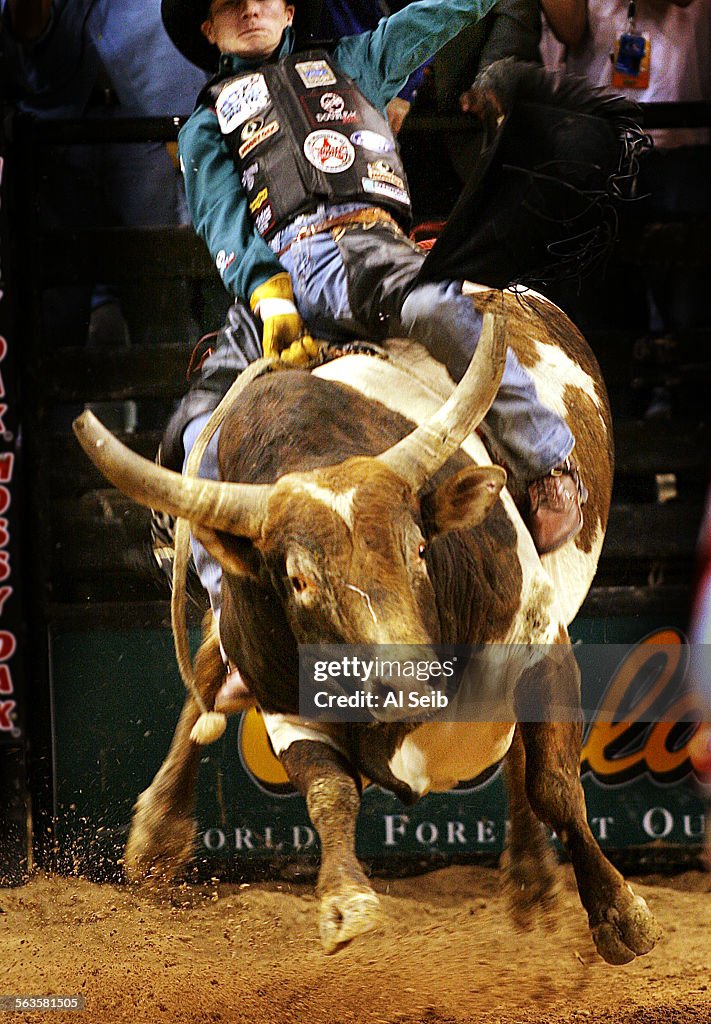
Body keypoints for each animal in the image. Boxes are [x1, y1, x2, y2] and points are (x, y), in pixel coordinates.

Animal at [73, 286, 663, 958]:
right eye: (297, 580)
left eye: (419, 548)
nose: (406, 682)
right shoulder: (284, 700)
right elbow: (329, 792)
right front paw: (344, 903)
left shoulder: (539, 640)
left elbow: (555, 783)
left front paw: (620, 912)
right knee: (206, 669)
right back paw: (157, 833)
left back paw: (533, 878)